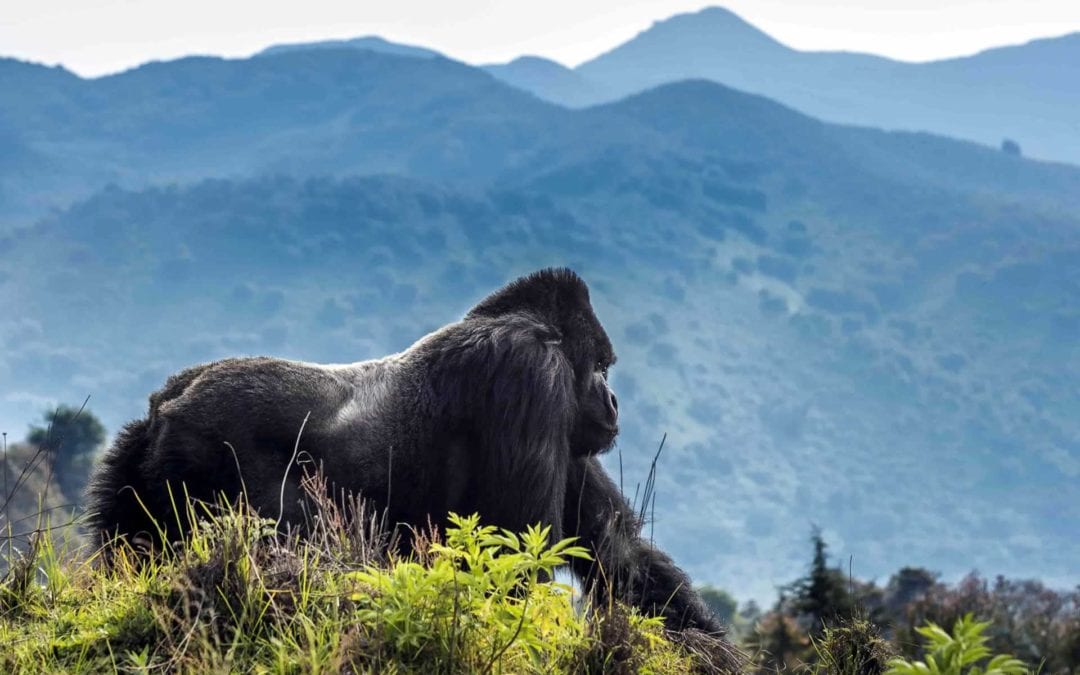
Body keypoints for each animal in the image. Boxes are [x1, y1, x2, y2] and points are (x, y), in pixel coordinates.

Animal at [86, 266, 725, 630]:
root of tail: (163, 404)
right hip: (204, 448)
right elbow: (516, 552)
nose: (613, 401)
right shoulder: (530, 376)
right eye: (602, 368)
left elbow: (621, 556)